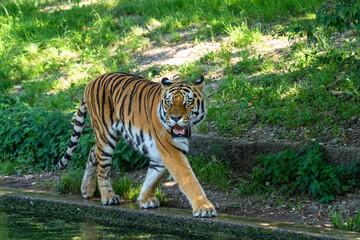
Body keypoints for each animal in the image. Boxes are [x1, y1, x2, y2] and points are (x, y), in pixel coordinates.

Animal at [57, 71, 218, 218]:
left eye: (187, 102)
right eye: (169, 102)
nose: (175, 118)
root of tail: (92, 81)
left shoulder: (160, 155)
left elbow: (152, 177)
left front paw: (145, 199)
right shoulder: (172, 152)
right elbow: (190, 181)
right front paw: (204, 208)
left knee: (92, 152)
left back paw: (86, 190)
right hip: (106, 135)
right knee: (102, 169)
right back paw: (108, 197)